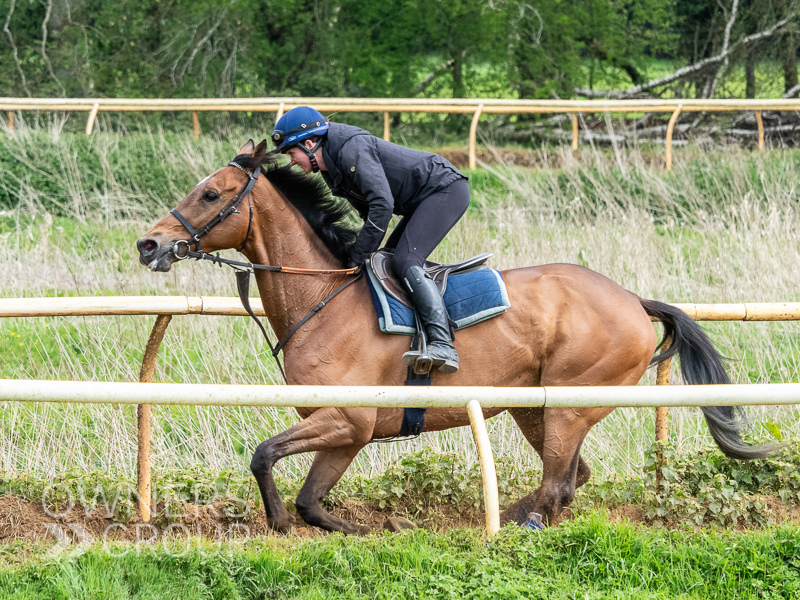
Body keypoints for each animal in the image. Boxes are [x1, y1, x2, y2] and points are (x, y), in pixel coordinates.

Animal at [138, 142, 776, 536]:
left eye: (211, 194)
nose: (149, 244)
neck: (323, 298)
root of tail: (633, 301)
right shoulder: (346, 430)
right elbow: (310, 500)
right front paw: (359, 525)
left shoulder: (348, 419)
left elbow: (266, 455)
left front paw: (285, 520)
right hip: (532, 405)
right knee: (574, 477)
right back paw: (513, 515)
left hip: (570, 403)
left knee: (558, 485)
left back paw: (523, 524)